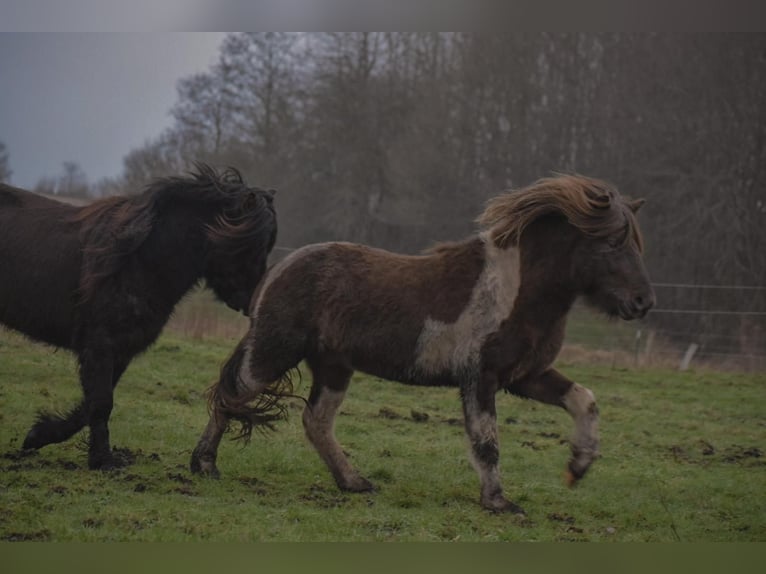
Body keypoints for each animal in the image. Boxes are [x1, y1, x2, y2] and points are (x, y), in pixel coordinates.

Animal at [1, 164, 278, 470]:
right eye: (249, 245)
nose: (255, 299)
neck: (137, 262)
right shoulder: (100, 345)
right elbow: (100, 404)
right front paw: (104, 461)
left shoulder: (121, 351)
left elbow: (91, 405)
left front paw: (39, 436)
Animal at [190, 173, 656, 516]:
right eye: (611, 243)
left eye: (635, 243)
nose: (643, 302)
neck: (517, 290)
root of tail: (277, 270)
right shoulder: (480, 378)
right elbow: (487, 442)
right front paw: (499, 503)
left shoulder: (525, 376)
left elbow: (585, 400)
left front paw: (578, 467)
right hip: (273, 353)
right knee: (231, 395)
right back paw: (204, 465)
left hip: (333, 367)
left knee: (315, 422)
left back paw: (354, 483)